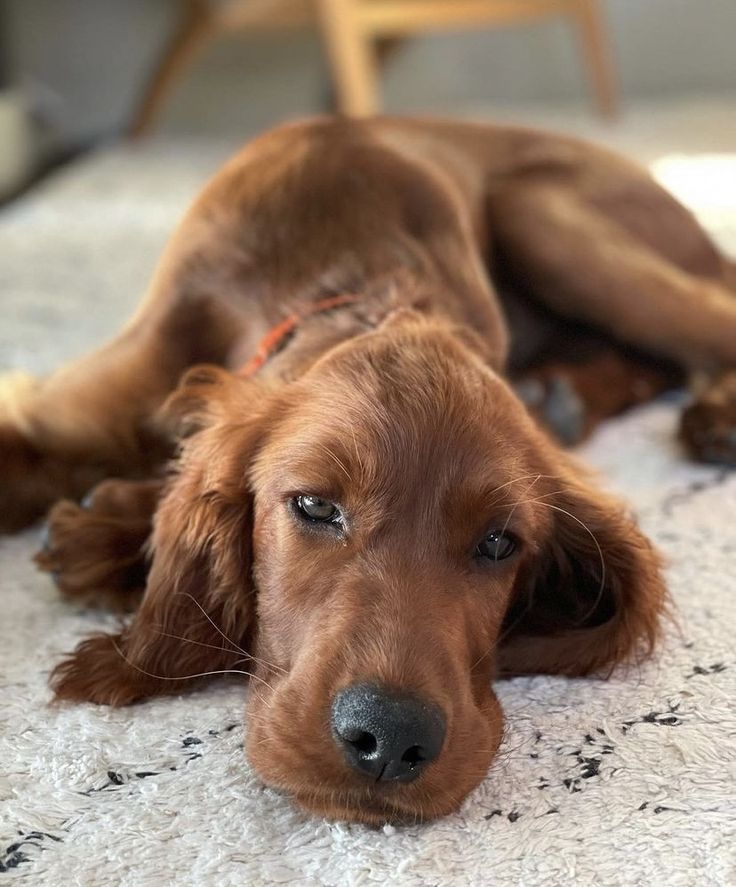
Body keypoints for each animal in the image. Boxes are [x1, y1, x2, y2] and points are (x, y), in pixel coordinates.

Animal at [1, 118, 736, 824]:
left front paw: (108, 528)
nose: (389, 738)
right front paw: (109, 530)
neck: (355, 287)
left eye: (500, 543)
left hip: (542, 216)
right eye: (314, 506)